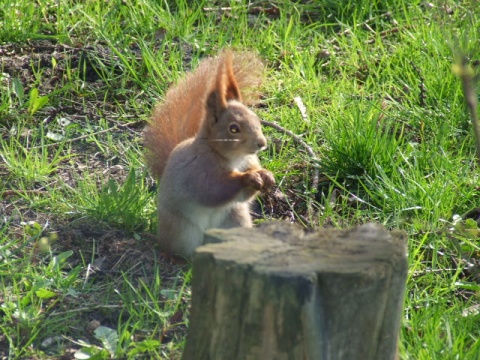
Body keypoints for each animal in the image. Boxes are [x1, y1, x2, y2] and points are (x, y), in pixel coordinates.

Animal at [143, 51, 274, 258]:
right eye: (233, 129)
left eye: (257, 119)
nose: (262, 143)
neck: (233, 158)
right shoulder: (200, 170)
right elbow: (213, 190)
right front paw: (249, 177)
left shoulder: (249, 161)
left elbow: (244, 195)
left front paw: (266, 175)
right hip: (182, 230)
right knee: (181, 250)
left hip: (235, 221)